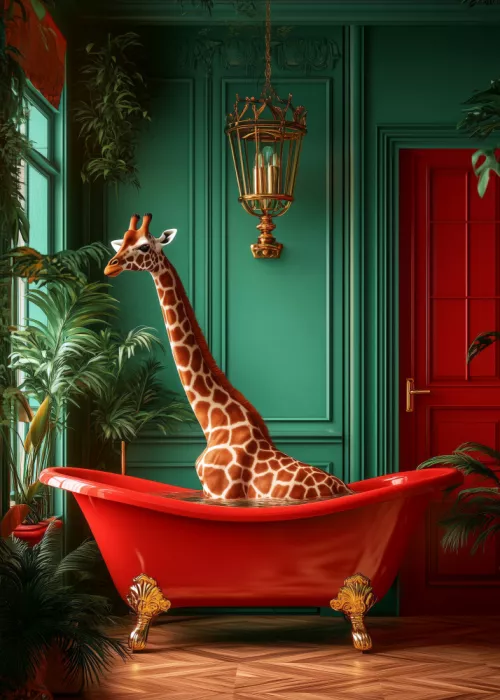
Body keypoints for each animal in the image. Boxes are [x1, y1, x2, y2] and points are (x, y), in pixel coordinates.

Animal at [104, 213, 352, 500]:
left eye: (144, 246)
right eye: (122, 242)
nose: (110, 267)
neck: (214, 424)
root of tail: (345, 487)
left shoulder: (222, 492)